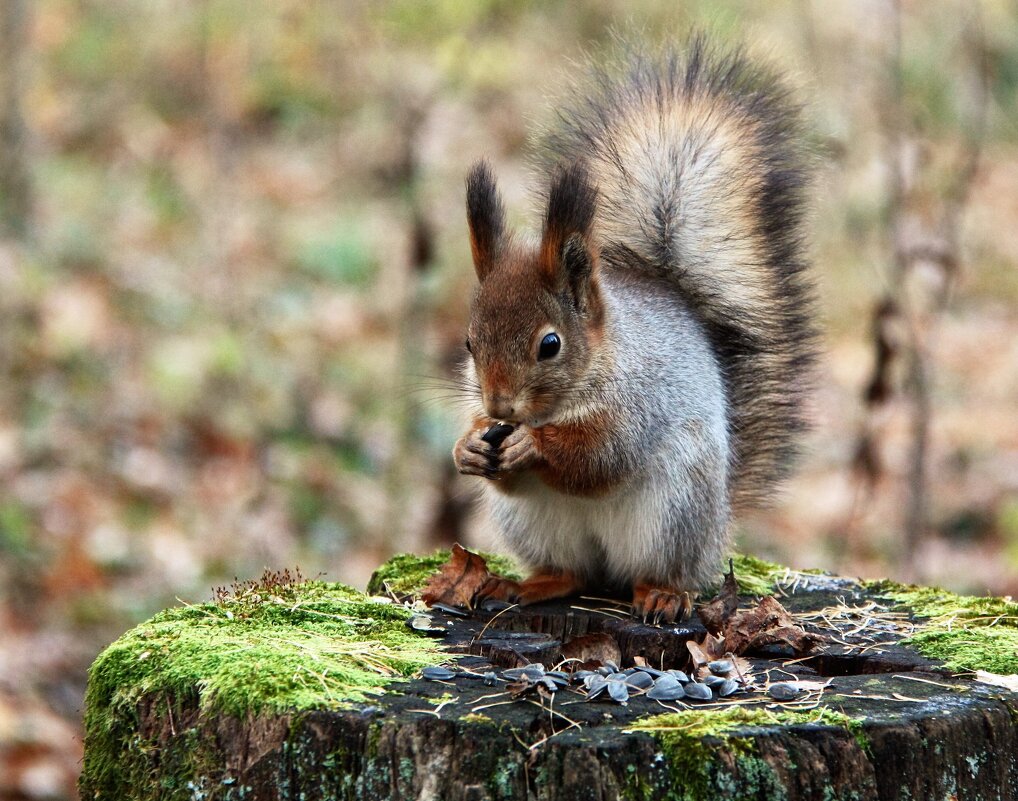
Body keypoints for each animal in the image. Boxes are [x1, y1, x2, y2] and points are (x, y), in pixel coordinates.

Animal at [449, 37, 814, 622]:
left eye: (550, 344)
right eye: (469, 342)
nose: (500, 407)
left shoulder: (640, 403)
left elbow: (600, 457)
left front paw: (534, 446)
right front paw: (467, 449)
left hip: (674, 512)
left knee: (658, 571)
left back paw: (661, 593)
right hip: (535, 526)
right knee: (571, 572)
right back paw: (531, 584)